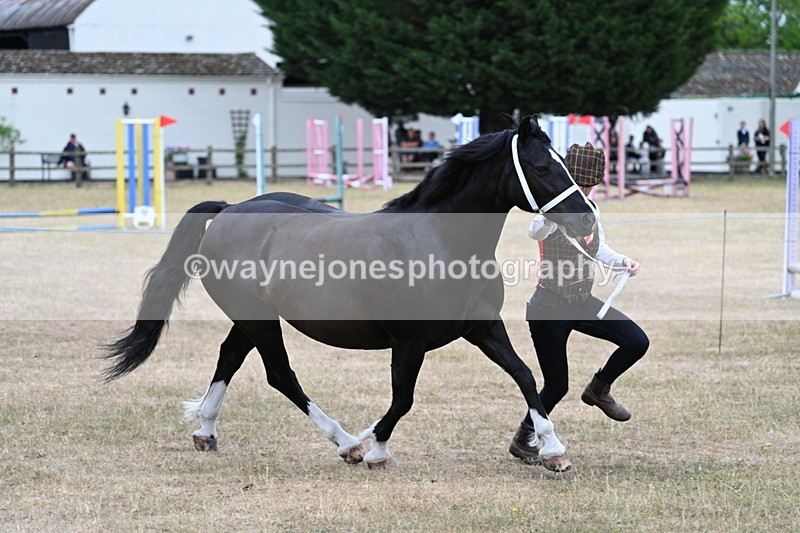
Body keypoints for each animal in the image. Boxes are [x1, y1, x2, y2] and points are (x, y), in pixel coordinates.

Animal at [102, 115, 596, 472]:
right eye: (541, 166)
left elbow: (525, 376)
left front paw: (552, 450)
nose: (588, 217)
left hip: (250, 318)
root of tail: (228, 210)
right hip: (259, 320)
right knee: (281, 375)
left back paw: (206, 431)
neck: (438, 240)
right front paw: (374, 447)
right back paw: (345, 444)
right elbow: (402, 399)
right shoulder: (409, 342)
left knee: (229, 358)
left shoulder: (482, 327)